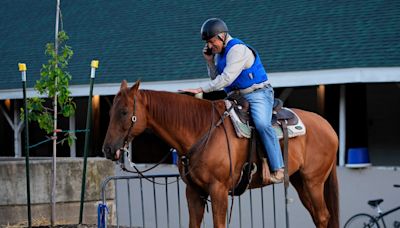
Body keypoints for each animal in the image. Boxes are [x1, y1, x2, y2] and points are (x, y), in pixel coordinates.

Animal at [102, 80, 338, 228]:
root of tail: (327, 126)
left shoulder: (219, 191)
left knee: (323, 216)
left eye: (124, 112)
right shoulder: (194, 192)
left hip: (313, 181)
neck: (201, 130)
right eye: (110, 112)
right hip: (300, 181)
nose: (107, 149)